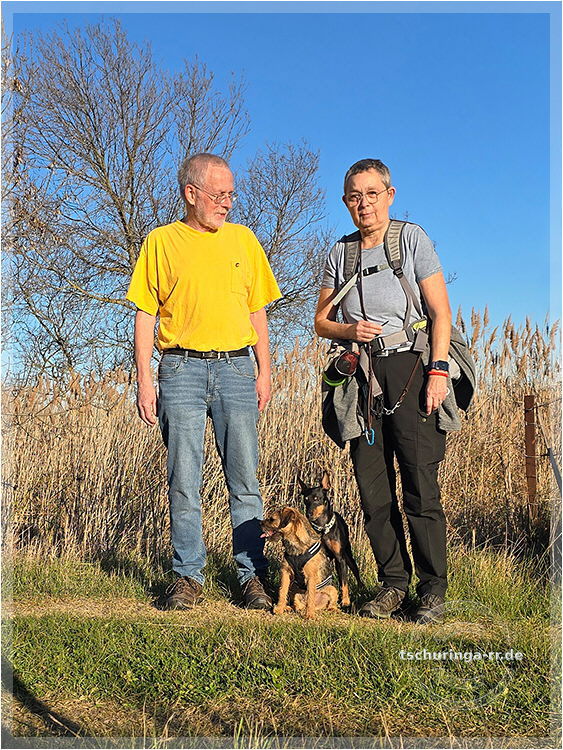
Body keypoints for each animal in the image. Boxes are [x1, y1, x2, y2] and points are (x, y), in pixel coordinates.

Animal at [298, 471, 364, 608]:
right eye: (305, 500)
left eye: (316, 498)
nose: (308, 514)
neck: (322, 529)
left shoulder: (340, 558)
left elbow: (344, 582)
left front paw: (345, 601)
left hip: (347, 556)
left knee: (354, 573)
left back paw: (361, 590)